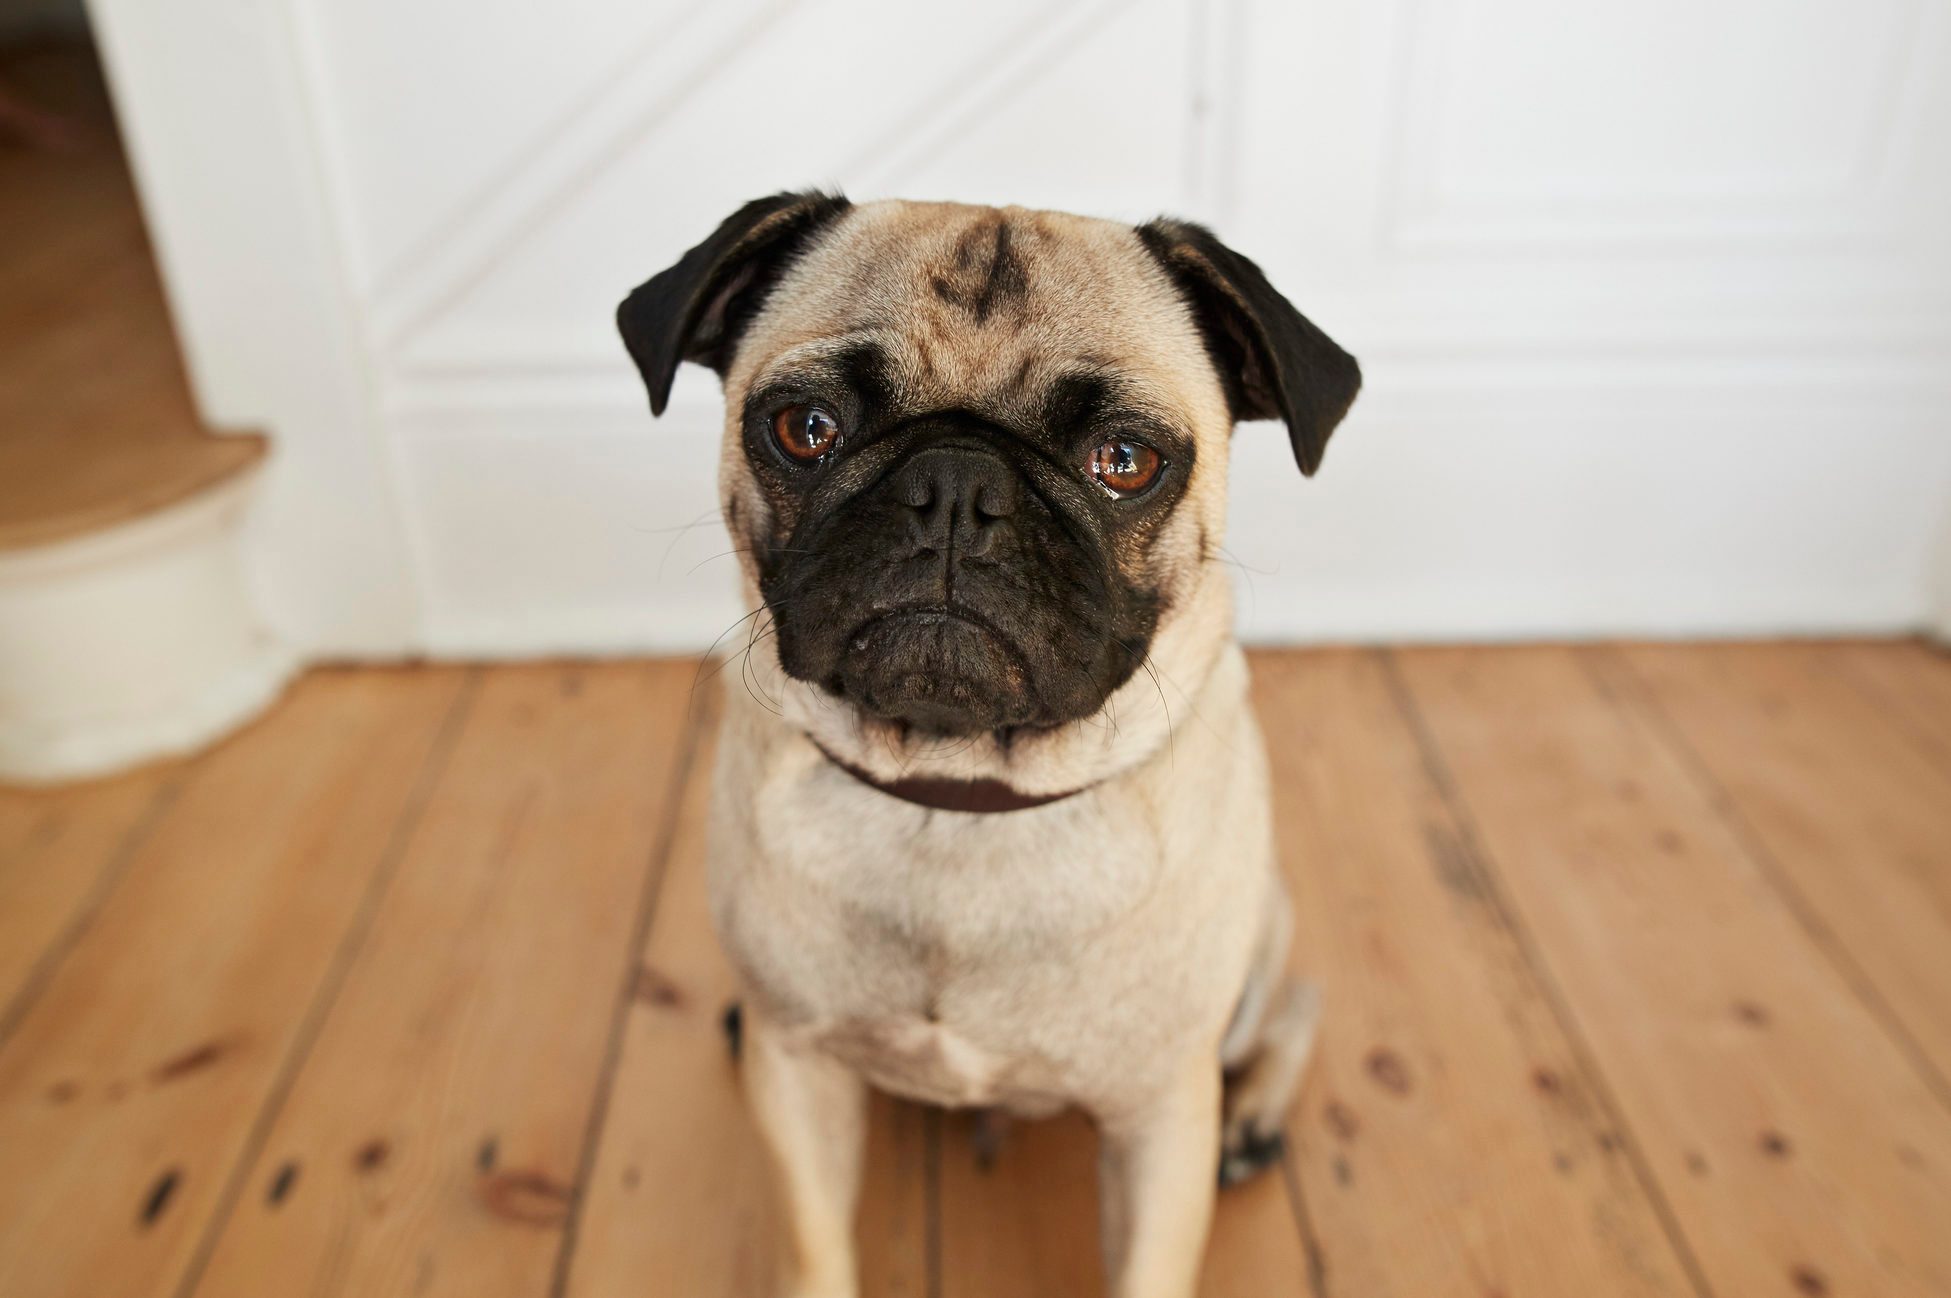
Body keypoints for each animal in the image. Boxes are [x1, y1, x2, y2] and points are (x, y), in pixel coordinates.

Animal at [620, 192, 1357, 1296]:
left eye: (1124, 462)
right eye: (805, 429)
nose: (956, 487)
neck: (956, 790)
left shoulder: (1156, 1116)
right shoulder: (800, 1078)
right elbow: (815, 1248)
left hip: (1257, 951)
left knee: (1293, 1006)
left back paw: (1253, 1119)